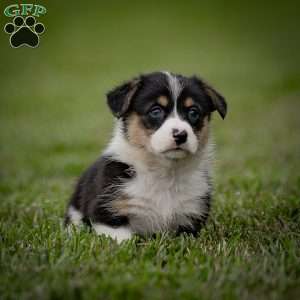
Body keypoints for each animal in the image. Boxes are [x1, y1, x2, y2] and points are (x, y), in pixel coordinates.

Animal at [64, 71, 226, 243]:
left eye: (193, 112)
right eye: (156, 111)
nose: (181, 135)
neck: (165, 172)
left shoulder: (190, 216)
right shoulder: (108, 214)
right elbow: (122, 241)